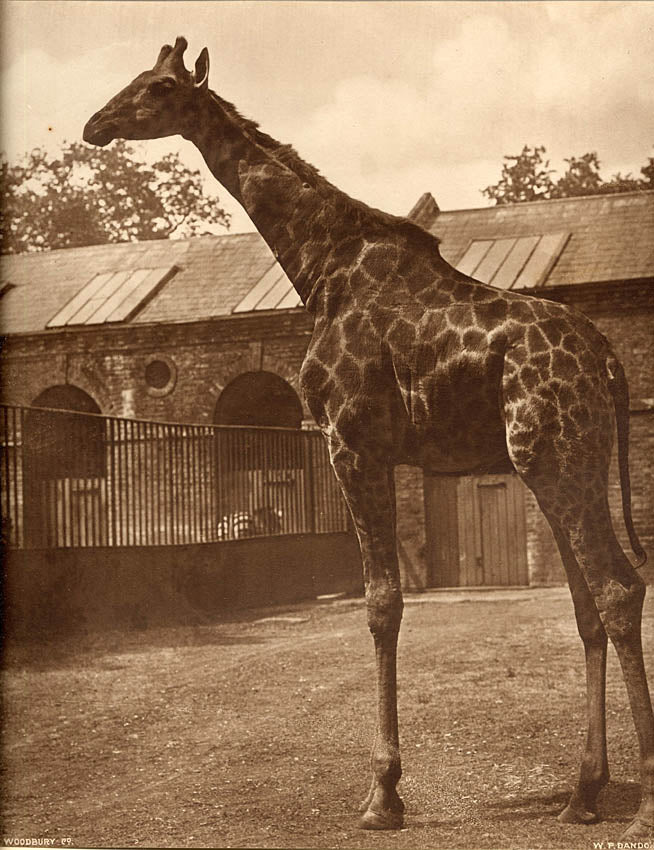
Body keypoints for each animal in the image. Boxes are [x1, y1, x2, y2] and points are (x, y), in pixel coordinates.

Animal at [84, 38, 652, 838]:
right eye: (136, 79)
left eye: (159, 88)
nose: (94, 125)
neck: (321, 269)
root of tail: (606, 358)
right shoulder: (365, 449)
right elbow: (386, 601)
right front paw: (388, 788)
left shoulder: (352, 442)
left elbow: (381, 602)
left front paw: (383, 794)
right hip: (566, 463)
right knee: (589, 609)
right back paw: (583, 793)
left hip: (557, 459)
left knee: (617, 589)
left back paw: (642, 806)